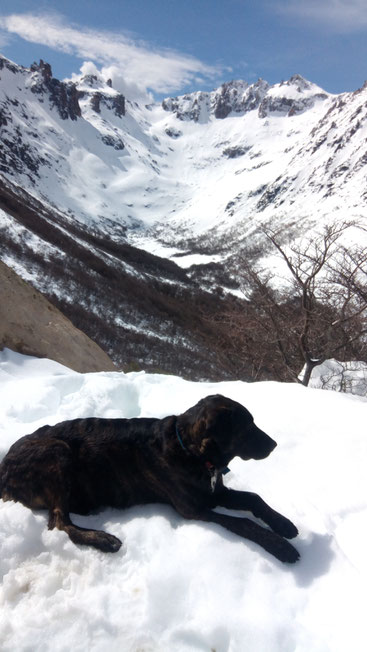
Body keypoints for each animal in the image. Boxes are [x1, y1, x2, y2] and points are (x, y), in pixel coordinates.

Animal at [0, 394, 300, 564]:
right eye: (247, 426)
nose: (274, 445)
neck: (191, 451)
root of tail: (3, 468)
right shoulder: (195, 509)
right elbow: (243, 523)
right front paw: (280, 546)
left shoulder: (215, 492)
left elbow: (254, 498)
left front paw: (283, 525)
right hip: (57, 452)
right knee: (60, 523)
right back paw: (103, 539)